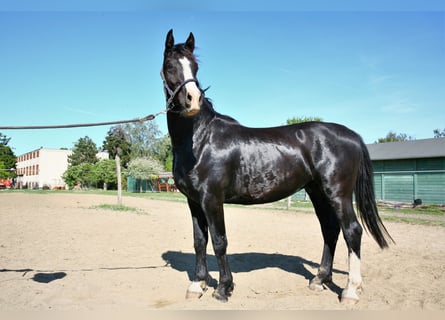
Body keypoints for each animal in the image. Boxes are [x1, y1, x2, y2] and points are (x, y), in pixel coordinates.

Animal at [160, 30, 392, 304]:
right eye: (170, 66)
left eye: (194, 67)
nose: (193, 99)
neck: (201, 139)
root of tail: (353, 135)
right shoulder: (194, 201)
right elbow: (199, 241)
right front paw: (197, 285)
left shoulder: (212, 199)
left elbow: (218, 241)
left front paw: (223, 288)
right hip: (318, 192)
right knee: (330, 230)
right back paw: (319, 280)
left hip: (338, 194)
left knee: (352, 231)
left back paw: (350, 291)